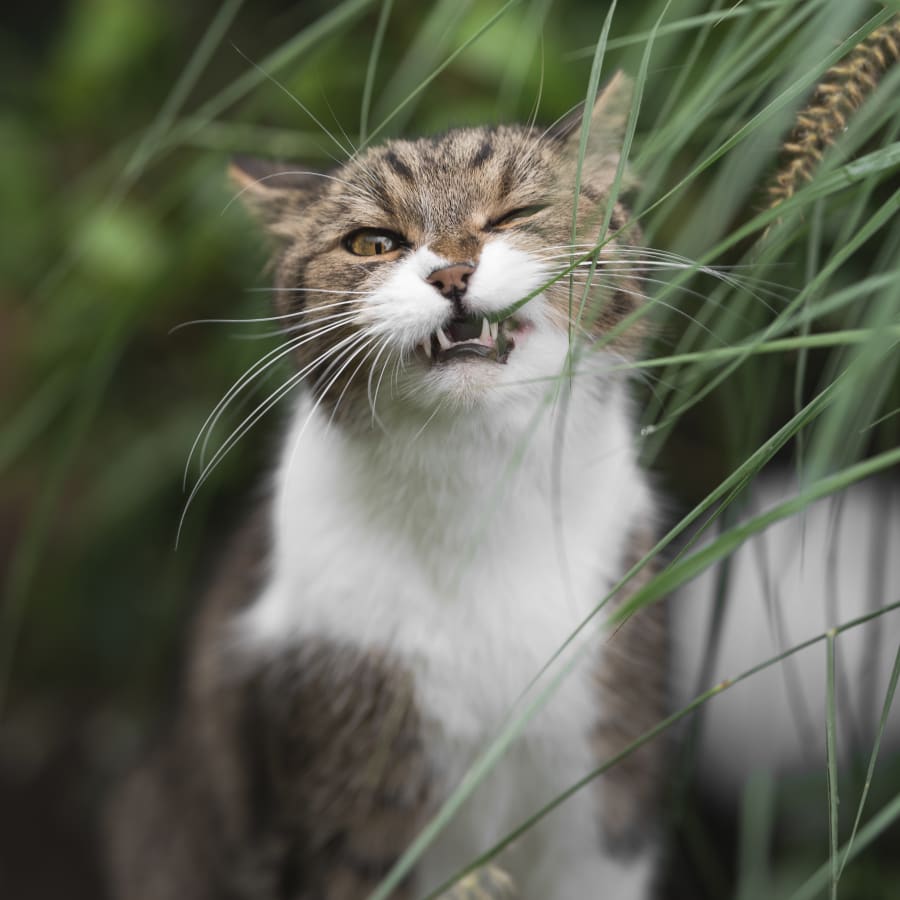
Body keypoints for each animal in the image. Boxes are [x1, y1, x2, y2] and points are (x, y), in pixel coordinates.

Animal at [105, 72, 668, 900]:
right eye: (374, 243)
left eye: (516, 215)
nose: (452, 273)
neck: (478, 502)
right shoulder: (350, 818)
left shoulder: (603, 807)